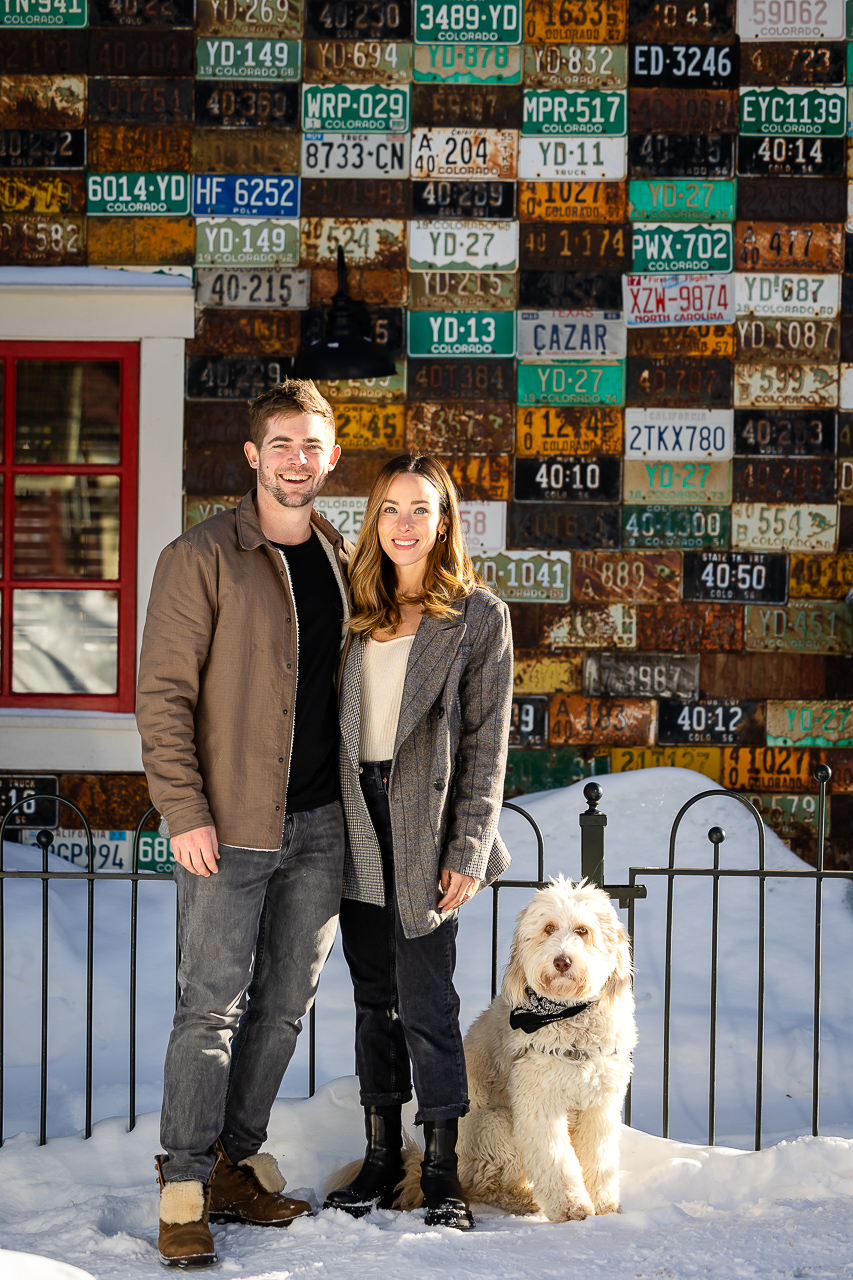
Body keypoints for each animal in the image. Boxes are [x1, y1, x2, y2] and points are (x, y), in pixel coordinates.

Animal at [450, 880, 630, 1218]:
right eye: (549, 928)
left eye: (583, 931)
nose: (562, 961)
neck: (568, 1016)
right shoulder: (539, 1102)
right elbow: (555, 1160)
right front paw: (573, 1207)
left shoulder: (600, 1103)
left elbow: (599, 1157)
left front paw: (604, 1206)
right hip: (496, 1126)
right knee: (488, 1185)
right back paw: (524, 1200)